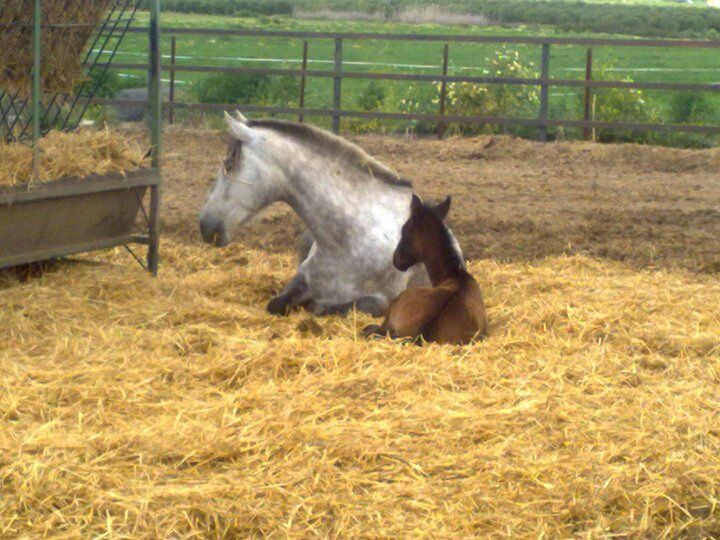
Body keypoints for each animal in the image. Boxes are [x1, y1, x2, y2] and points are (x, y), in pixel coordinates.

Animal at [200, 113, 464, 316]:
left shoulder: (380, 301)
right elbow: (276, 304)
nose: (205, 226)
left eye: (230, 163)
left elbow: (329, 308)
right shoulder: (302, 278)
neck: (349, 238)